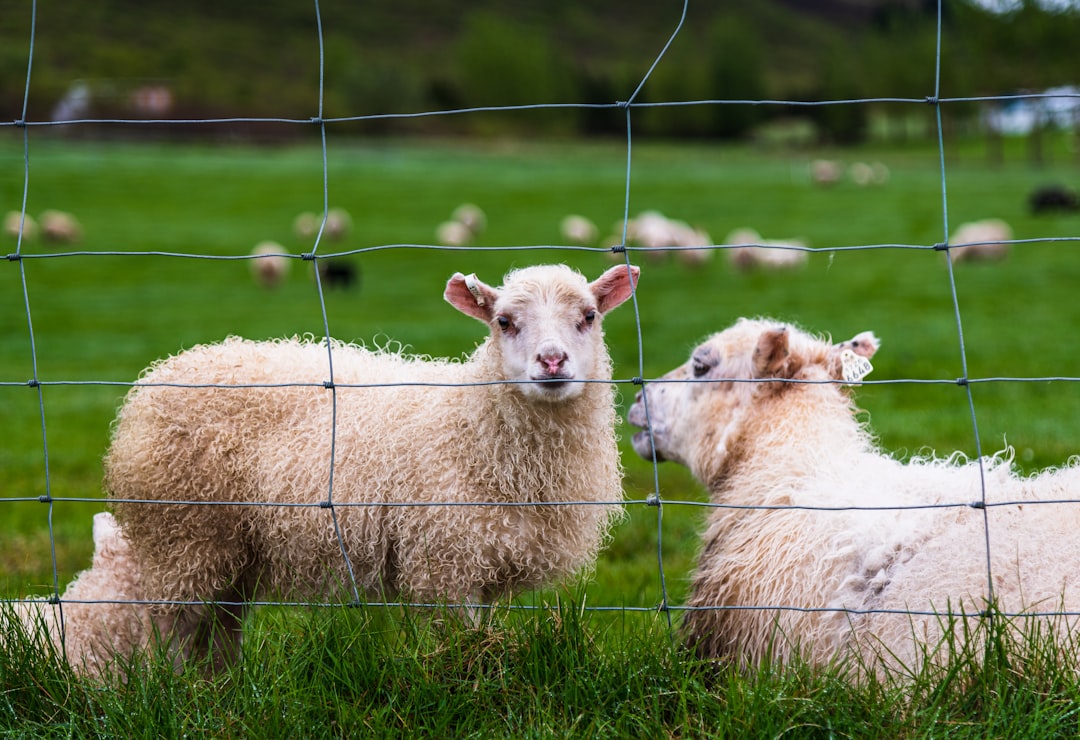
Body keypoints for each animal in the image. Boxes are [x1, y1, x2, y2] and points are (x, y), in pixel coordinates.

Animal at [104, 261, 635, 669]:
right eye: (503, 321)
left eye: (589, 316)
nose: (552, 361)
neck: (473, 428)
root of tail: (160, 376)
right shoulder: (445, 562)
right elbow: (460, 647)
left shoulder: (479, 560)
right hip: (183, 536)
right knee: (171, 628)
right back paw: (174, 689)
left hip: (235, 547)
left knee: (220, 627)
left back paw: (220, 688)